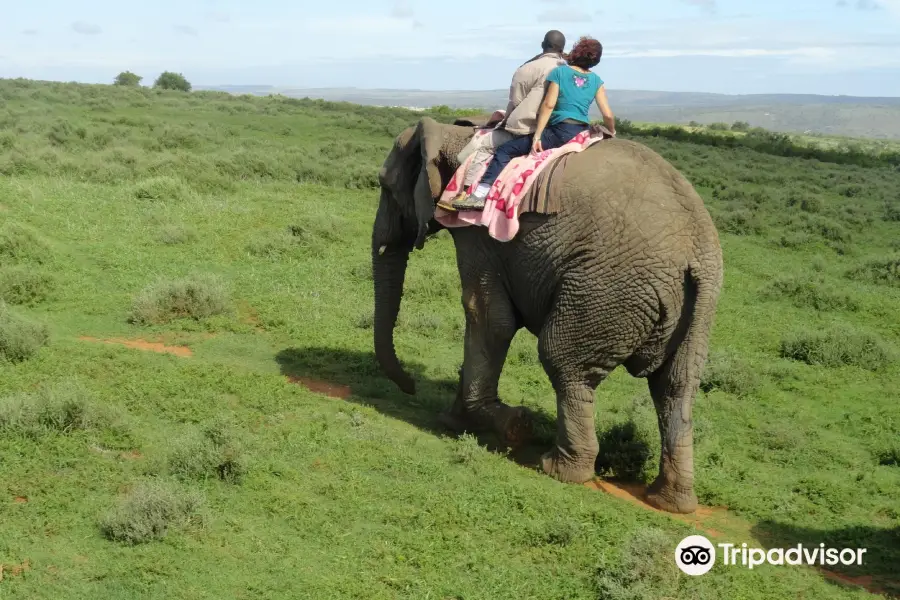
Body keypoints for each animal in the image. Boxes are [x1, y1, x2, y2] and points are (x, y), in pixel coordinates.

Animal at [372, 115, 724, 512]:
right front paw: (456, 420)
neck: (458, 133)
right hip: (699, 308)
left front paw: (506, 425)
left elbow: (488, 318)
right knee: (675, 387)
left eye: (385, 187)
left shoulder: (478, 233)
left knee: (564, 362)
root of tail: (696, 250)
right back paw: (671, 502)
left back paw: (560, 469)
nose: (410, 386)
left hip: (603, 287)